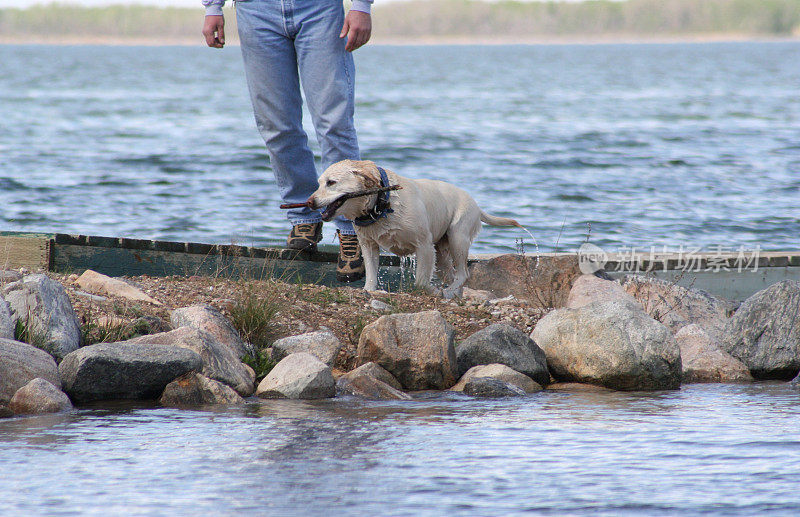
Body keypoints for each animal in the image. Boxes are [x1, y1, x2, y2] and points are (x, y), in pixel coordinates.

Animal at [310, 159, 520, 296]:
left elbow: (420, 281)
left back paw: (448, 292)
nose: (310, 202)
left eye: (331, 183)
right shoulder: (369, 246)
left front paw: (432, 290)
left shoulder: (424, 246)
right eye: (319, 183)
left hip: (458, 237)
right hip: (441, 255)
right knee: (453, 275)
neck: (382, 203)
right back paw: (454, 295)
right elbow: (370, 276)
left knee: (463, 274)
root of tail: (477, 205)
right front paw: (368, 291)